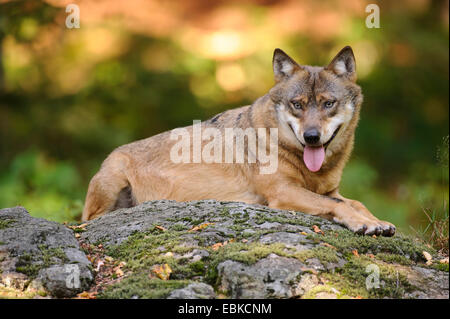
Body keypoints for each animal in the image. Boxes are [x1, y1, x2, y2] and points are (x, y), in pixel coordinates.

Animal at [82, 47, 396, 238]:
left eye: (328, 103)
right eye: (297, 104)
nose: (311, 137)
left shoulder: (330, 191)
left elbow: (356, 202)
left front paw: (377, 221)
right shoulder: (282, 191)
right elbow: (340, 206)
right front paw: (366, 223)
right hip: (111, 180)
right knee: (90, 219)